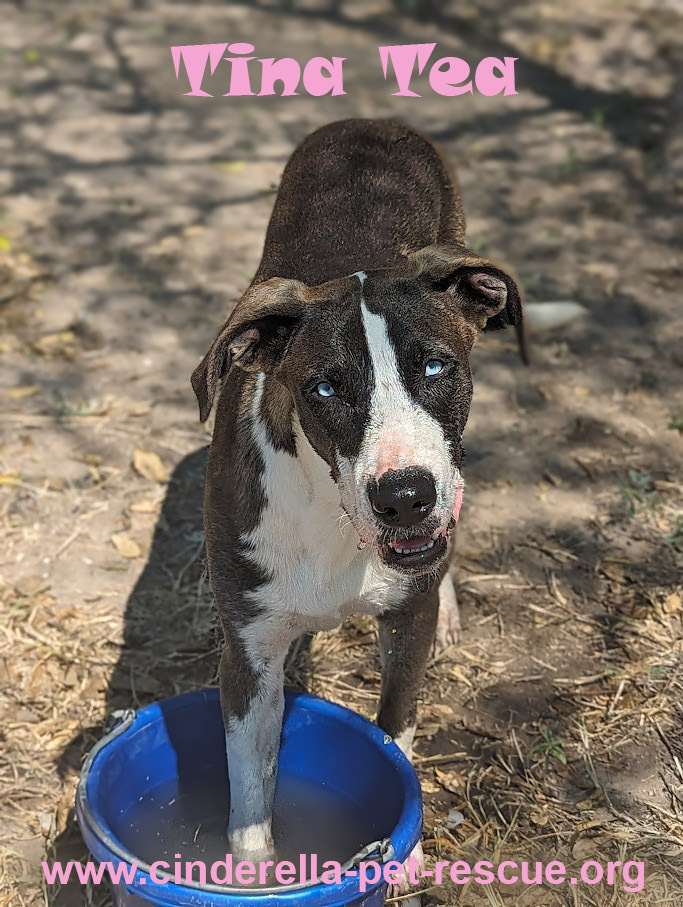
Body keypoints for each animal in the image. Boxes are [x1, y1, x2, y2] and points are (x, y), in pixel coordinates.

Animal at [190, 119, 520, 892]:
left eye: (435, 366)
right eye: (323, 389)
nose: (405, 498)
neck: (333, 524)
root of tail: (371, 121)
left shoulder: (406, 621)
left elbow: (395, 730)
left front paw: (403, 853)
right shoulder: (248, 650)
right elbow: (249, 787)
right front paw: (253, 877)